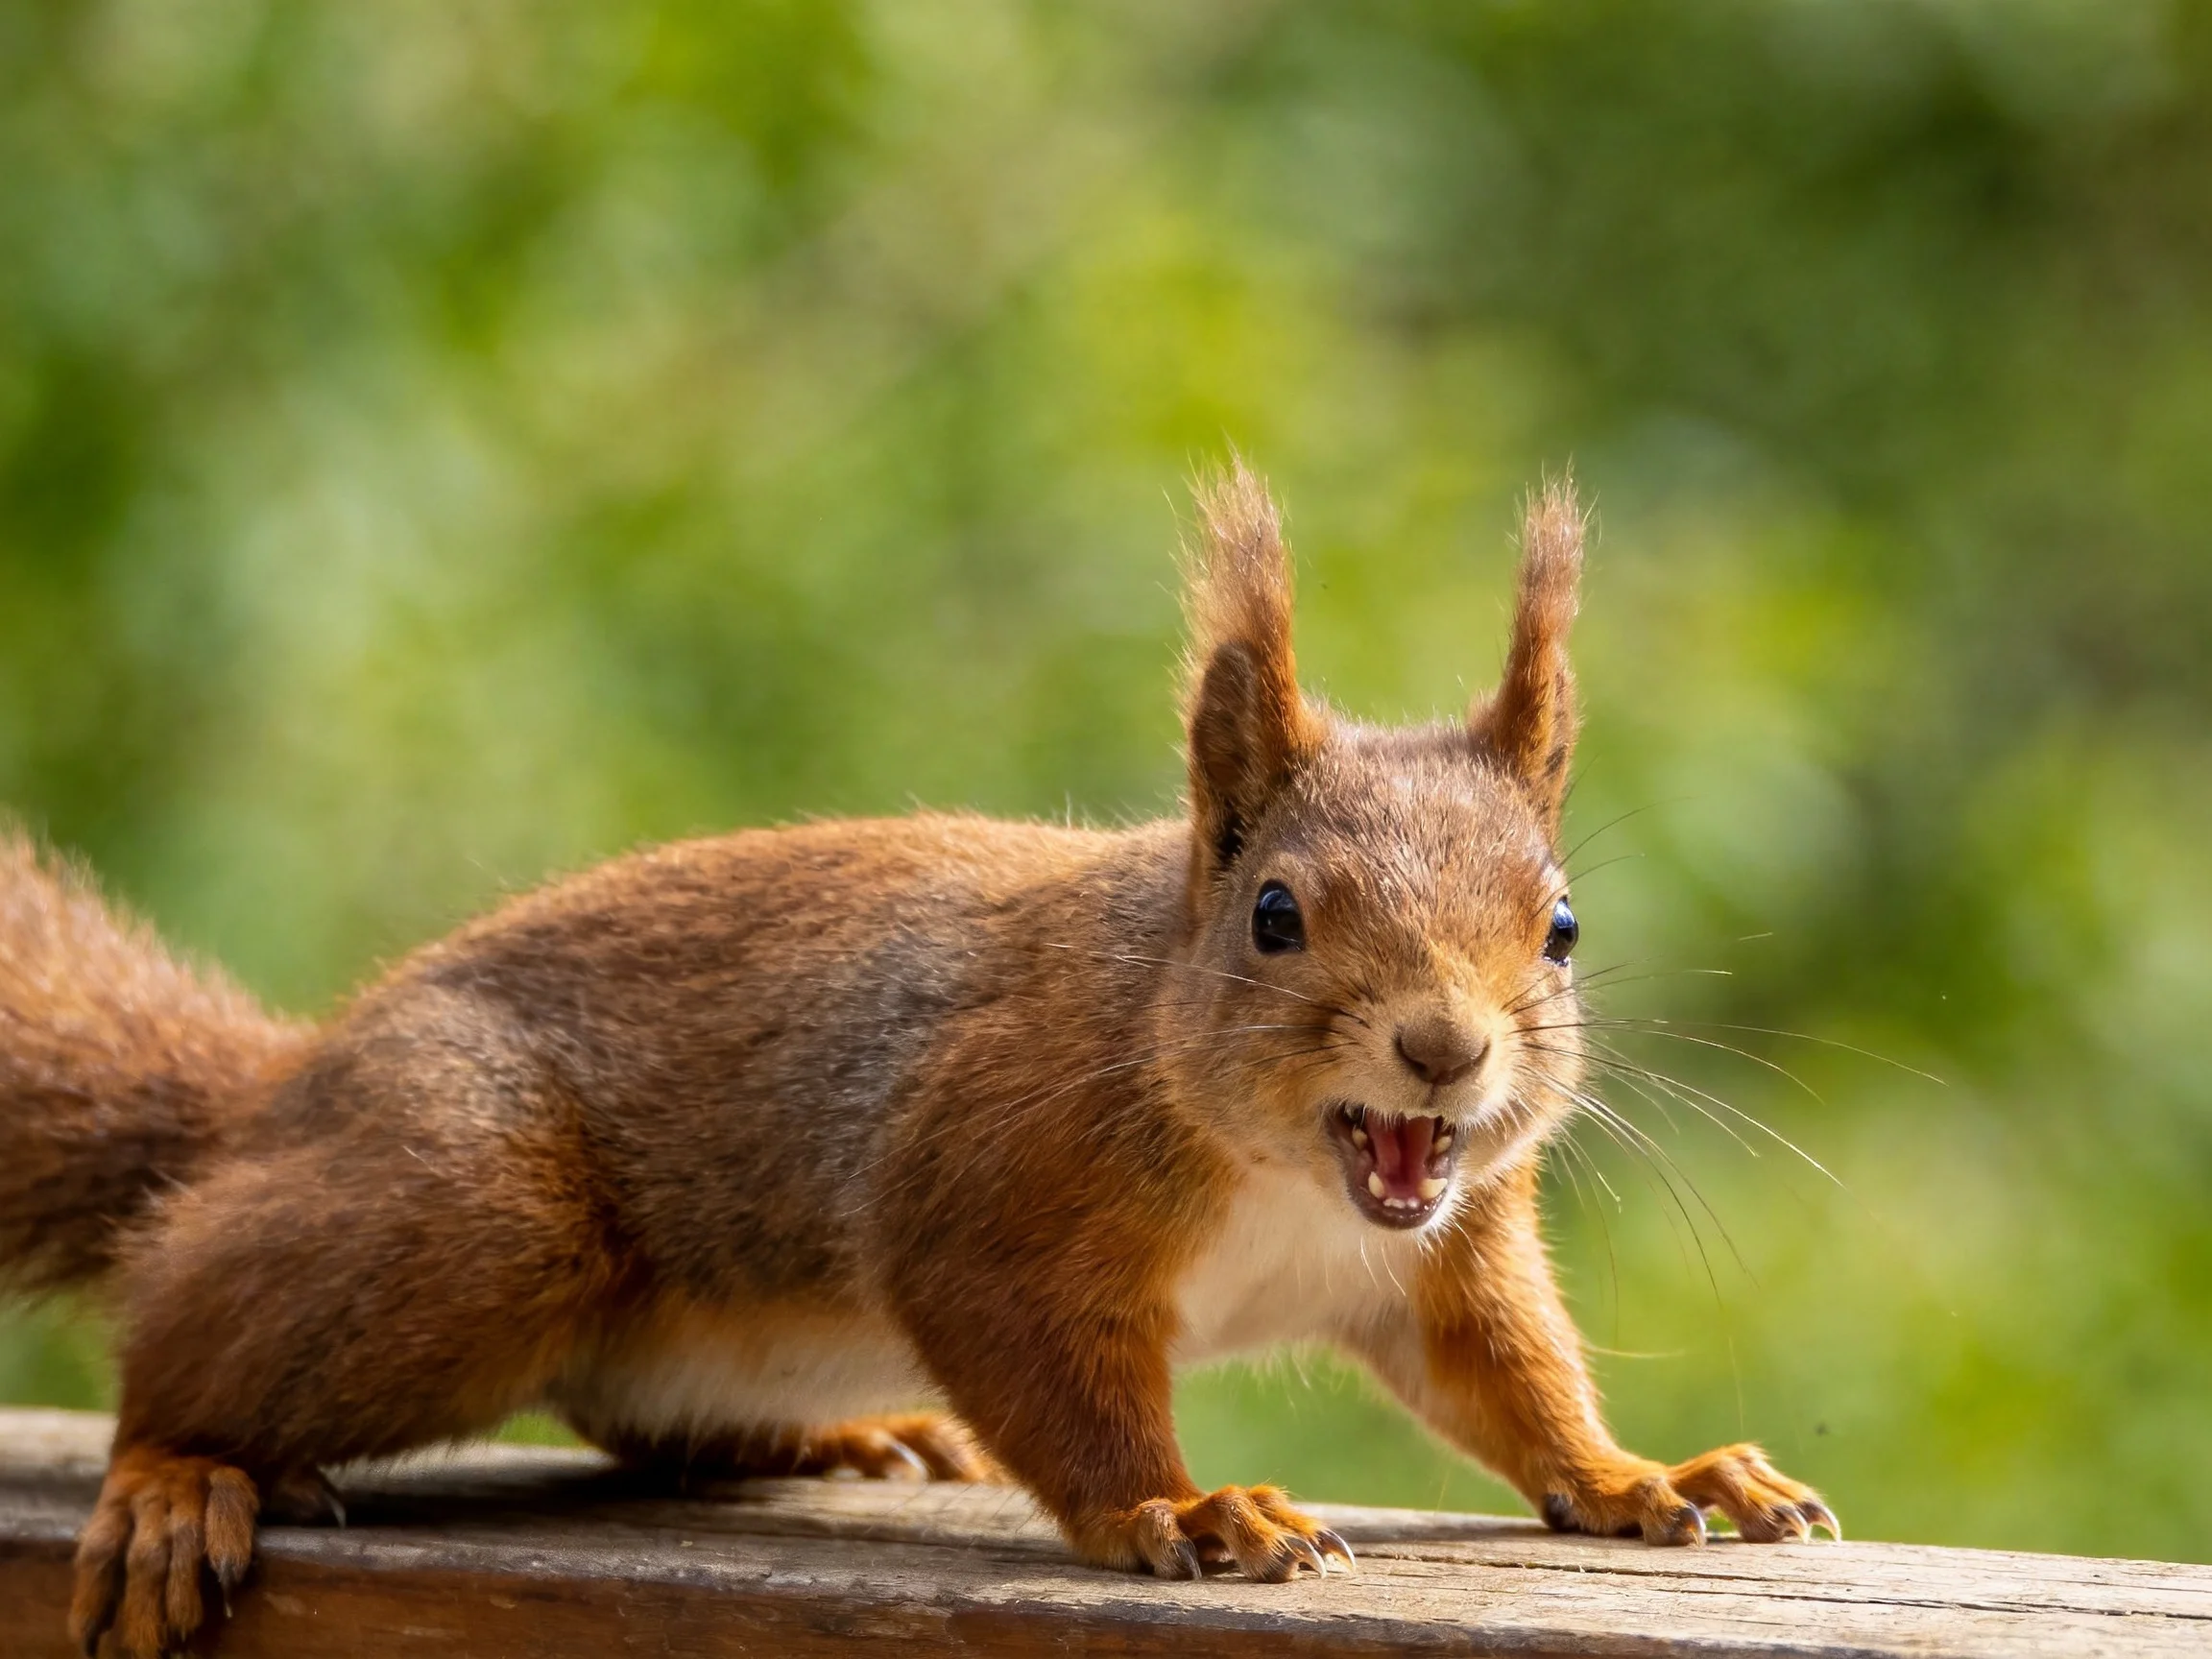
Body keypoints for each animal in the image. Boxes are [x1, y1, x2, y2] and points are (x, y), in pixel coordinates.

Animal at [1, 462, 1834, 1658]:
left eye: (1562, 926)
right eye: (1272, 915)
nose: (1442, 1049)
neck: (1279, 1170)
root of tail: (283, 1099)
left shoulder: (1444, 1257)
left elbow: (1510, 1381)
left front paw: (1643, 1475)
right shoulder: (982, 1184)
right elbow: (1052, 1384)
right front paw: (1184, 1513)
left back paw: (844, 1443)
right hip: (464, 1206)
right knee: (180, 1336)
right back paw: (176, 1477)